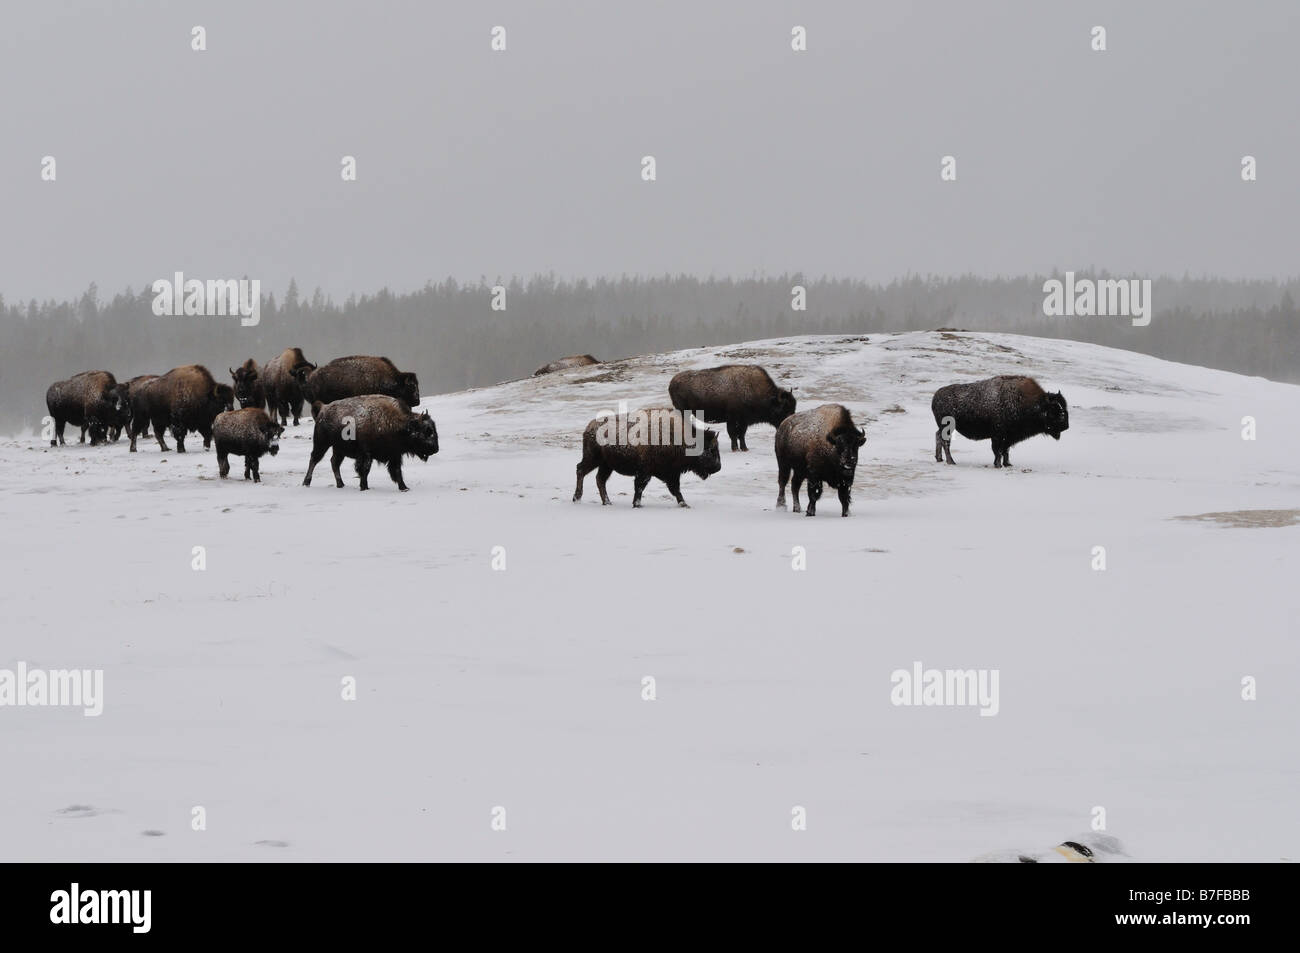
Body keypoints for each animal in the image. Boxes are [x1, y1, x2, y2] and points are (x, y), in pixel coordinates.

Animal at [302, 395, 441, 491]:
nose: (436, 449)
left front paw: (404, 488)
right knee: (314, 460)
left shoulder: (395, 455)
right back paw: (306, 483)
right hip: (321, 444)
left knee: (334, 462)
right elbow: (365, 470)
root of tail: (323, 409)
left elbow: (397, 472)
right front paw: (364, 487)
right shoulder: (366, 454)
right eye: (427, 431)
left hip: (338, 449)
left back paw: (341, 484)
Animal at [577, 408, 728, 509]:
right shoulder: (645, 472)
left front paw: (684, 504)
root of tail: (589, 427)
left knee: (600, 479)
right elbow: (640, 487)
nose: (718, 467)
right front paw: (637, 504)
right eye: (711, 449)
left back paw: (607, 502)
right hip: (593, 459)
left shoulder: (672, 473)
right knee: (581, 470)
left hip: (606, 465)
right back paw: (577, 498)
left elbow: (676, 489)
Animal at [670, 366, 800, 452]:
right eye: (783, 408)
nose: (788, 424)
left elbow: (741, 434)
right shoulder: (732, 419)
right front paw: (735, 449)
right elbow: (733, 433)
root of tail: (672, 382)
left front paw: (744, 448)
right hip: (684, 412)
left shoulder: (744, 421)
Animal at [930, 377, 1071, 470]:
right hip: (948, 427)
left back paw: (939, 459)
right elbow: (998, 450)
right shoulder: (998, 435)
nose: (1066, 426)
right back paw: (951, 461)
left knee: (938, 436)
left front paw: (1008, 464)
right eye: (1054, 409)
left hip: (944, 427)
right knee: (945, 442)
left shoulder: (1008, 437)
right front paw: (998, 465)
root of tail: (936, 396)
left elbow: (1005, 451)